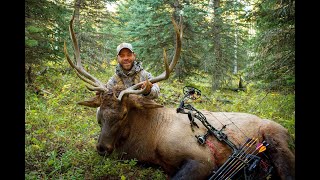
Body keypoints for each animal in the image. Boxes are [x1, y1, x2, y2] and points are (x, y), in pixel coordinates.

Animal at [63, 11, 296, 179]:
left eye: (124, 114)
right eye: (99, 114)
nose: (102, 148)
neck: (147, 141)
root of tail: (288, 131)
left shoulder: (203, 159)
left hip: (277, 142)